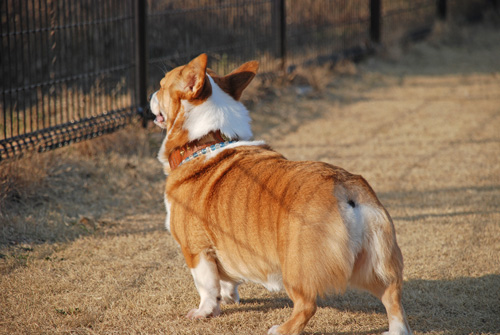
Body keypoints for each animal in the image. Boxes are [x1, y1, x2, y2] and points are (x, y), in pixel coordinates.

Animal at [148, 53, 410, 334]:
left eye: (161, 86)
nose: (151, 95)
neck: (207, 140)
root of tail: (346, 188)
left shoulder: (196, 249)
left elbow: (206, 287)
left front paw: (204, 312)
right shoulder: (223, 247)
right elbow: (226, 281)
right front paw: (229, 298)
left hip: (295, 267)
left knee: (307, 305)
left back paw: (281, 329)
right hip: (376, 265)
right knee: (392, 295)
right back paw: (395, 329)